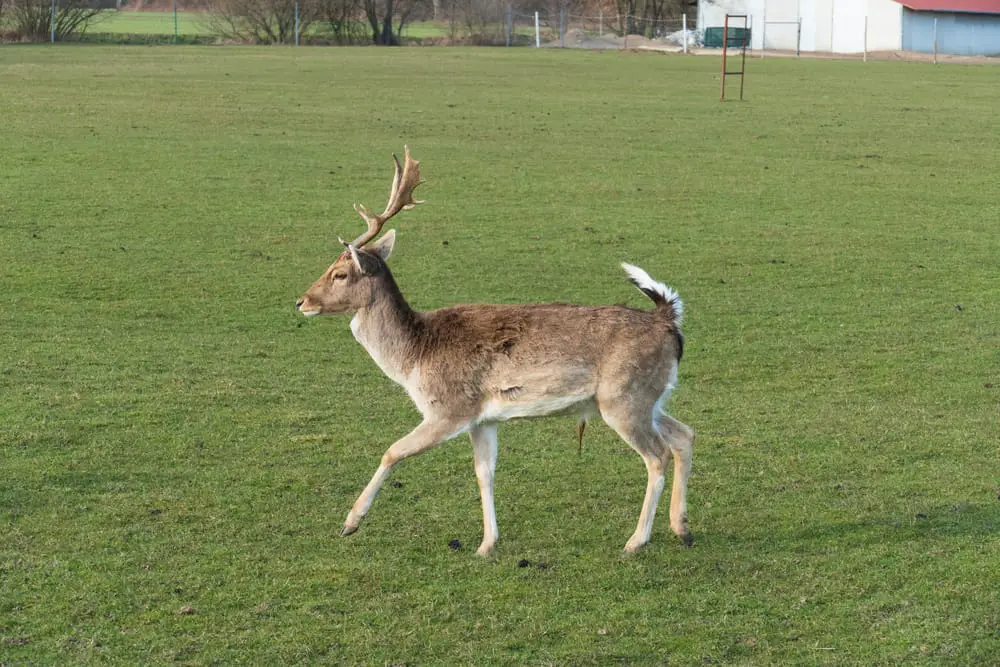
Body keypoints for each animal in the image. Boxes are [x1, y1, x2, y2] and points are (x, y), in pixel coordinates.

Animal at [292, 147, 692, 560]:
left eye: (340, 273)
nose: (301, 301)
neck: (414, 356)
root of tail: (668, 320)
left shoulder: (449, 409)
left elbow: (393, 451)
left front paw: (350, 522)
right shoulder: (483, 419)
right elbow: (484, 473)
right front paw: (486, 544)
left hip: (624, 399)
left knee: (658, 455)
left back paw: (636, 540)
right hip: (647, 398)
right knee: (685, 435)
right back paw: (681, 528)